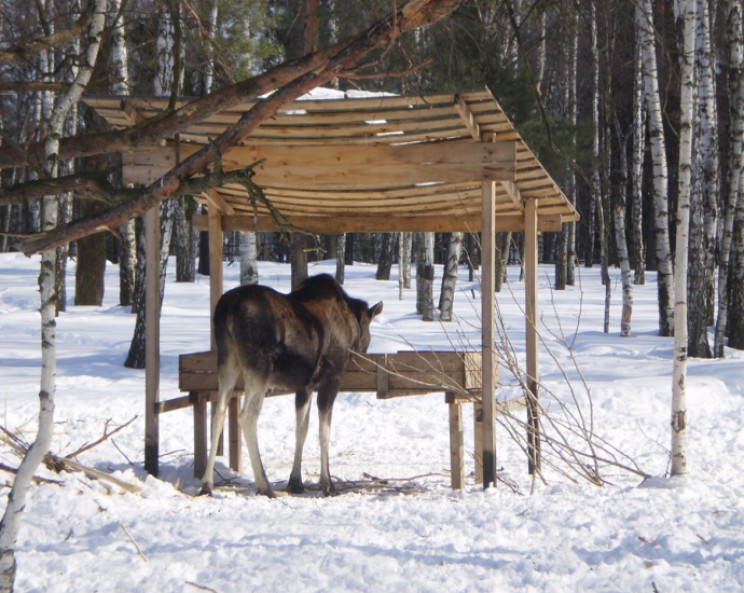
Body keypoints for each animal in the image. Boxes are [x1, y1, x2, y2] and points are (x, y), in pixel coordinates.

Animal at [201, 272, 380, 494]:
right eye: (369, 331)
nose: (364, 352)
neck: (351, 325)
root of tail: (227, 309)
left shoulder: (305, 386)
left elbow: (301, 430)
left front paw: (295, 481)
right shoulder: (332, 377)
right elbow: (324, 431)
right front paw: (327, 483)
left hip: (227, 360)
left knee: (218, 413)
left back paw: (206, 483)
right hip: (259, 366)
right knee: (247, 416)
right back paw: (264, 484)